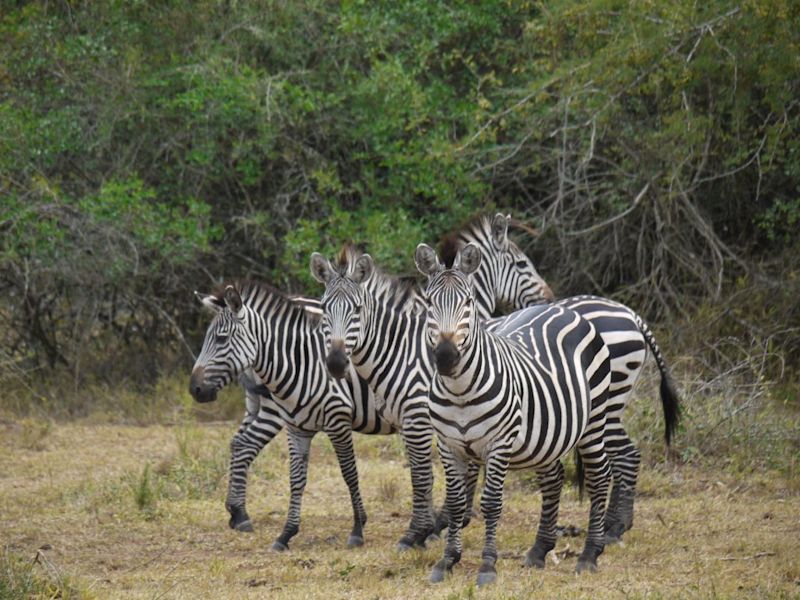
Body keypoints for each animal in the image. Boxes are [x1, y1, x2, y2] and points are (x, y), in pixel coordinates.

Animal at [416, 241, 608, 584]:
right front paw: (447, 561)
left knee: (600, 477)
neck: (460, 390)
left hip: (595, 420)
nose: (446, 357)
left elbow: (491, 504)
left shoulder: (499, 444)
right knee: (554, 479)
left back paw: (589, 555)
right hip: (547, 436)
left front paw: (487, 566)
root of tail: (561, 308)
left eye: (468, 303)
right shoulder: (448, 446)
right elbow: (455, 504)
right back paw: (539, 550)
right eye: (429, 304)